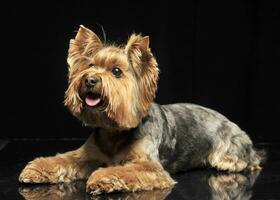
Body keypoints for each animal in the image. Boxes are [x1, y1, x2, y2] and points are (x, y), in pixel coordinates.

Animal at [18, 25, 264, 195]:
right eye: (90, 65)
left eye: (116, 71)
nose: (90, 79)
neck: (114, 132)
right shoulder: (86, 155)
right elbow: (64, 159)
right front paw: (36, 169)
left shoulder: (150, 167)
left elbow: (123, 170)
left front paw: (102, 178)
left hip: (229, 150)